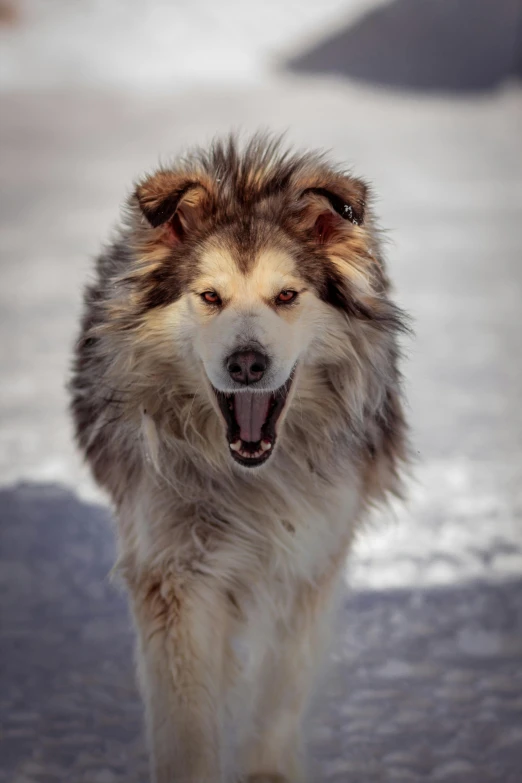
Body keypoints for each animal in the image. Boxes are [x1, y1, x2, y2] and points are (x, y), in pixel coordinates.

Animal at [69, 136, 408, 783]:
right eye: (210, 297)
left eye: (286, 296)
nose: (246, 364)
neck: (250, 481)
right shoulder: (173, 569)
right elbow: (186, 720)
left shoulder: (310, 557)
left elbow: (281, 688)